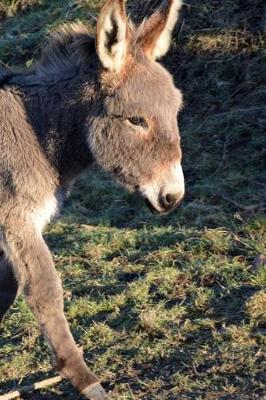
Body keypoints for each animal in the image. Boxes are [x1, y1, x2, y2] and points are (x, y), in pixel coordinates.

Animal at [0, 0, 185, 396]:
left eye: (176, 112)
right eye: (136, 120)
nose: (172, 197)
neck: (36, 129)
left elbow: (6, 291)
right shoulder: (17, 221)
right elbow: (45, 291)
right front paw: (85, 380)